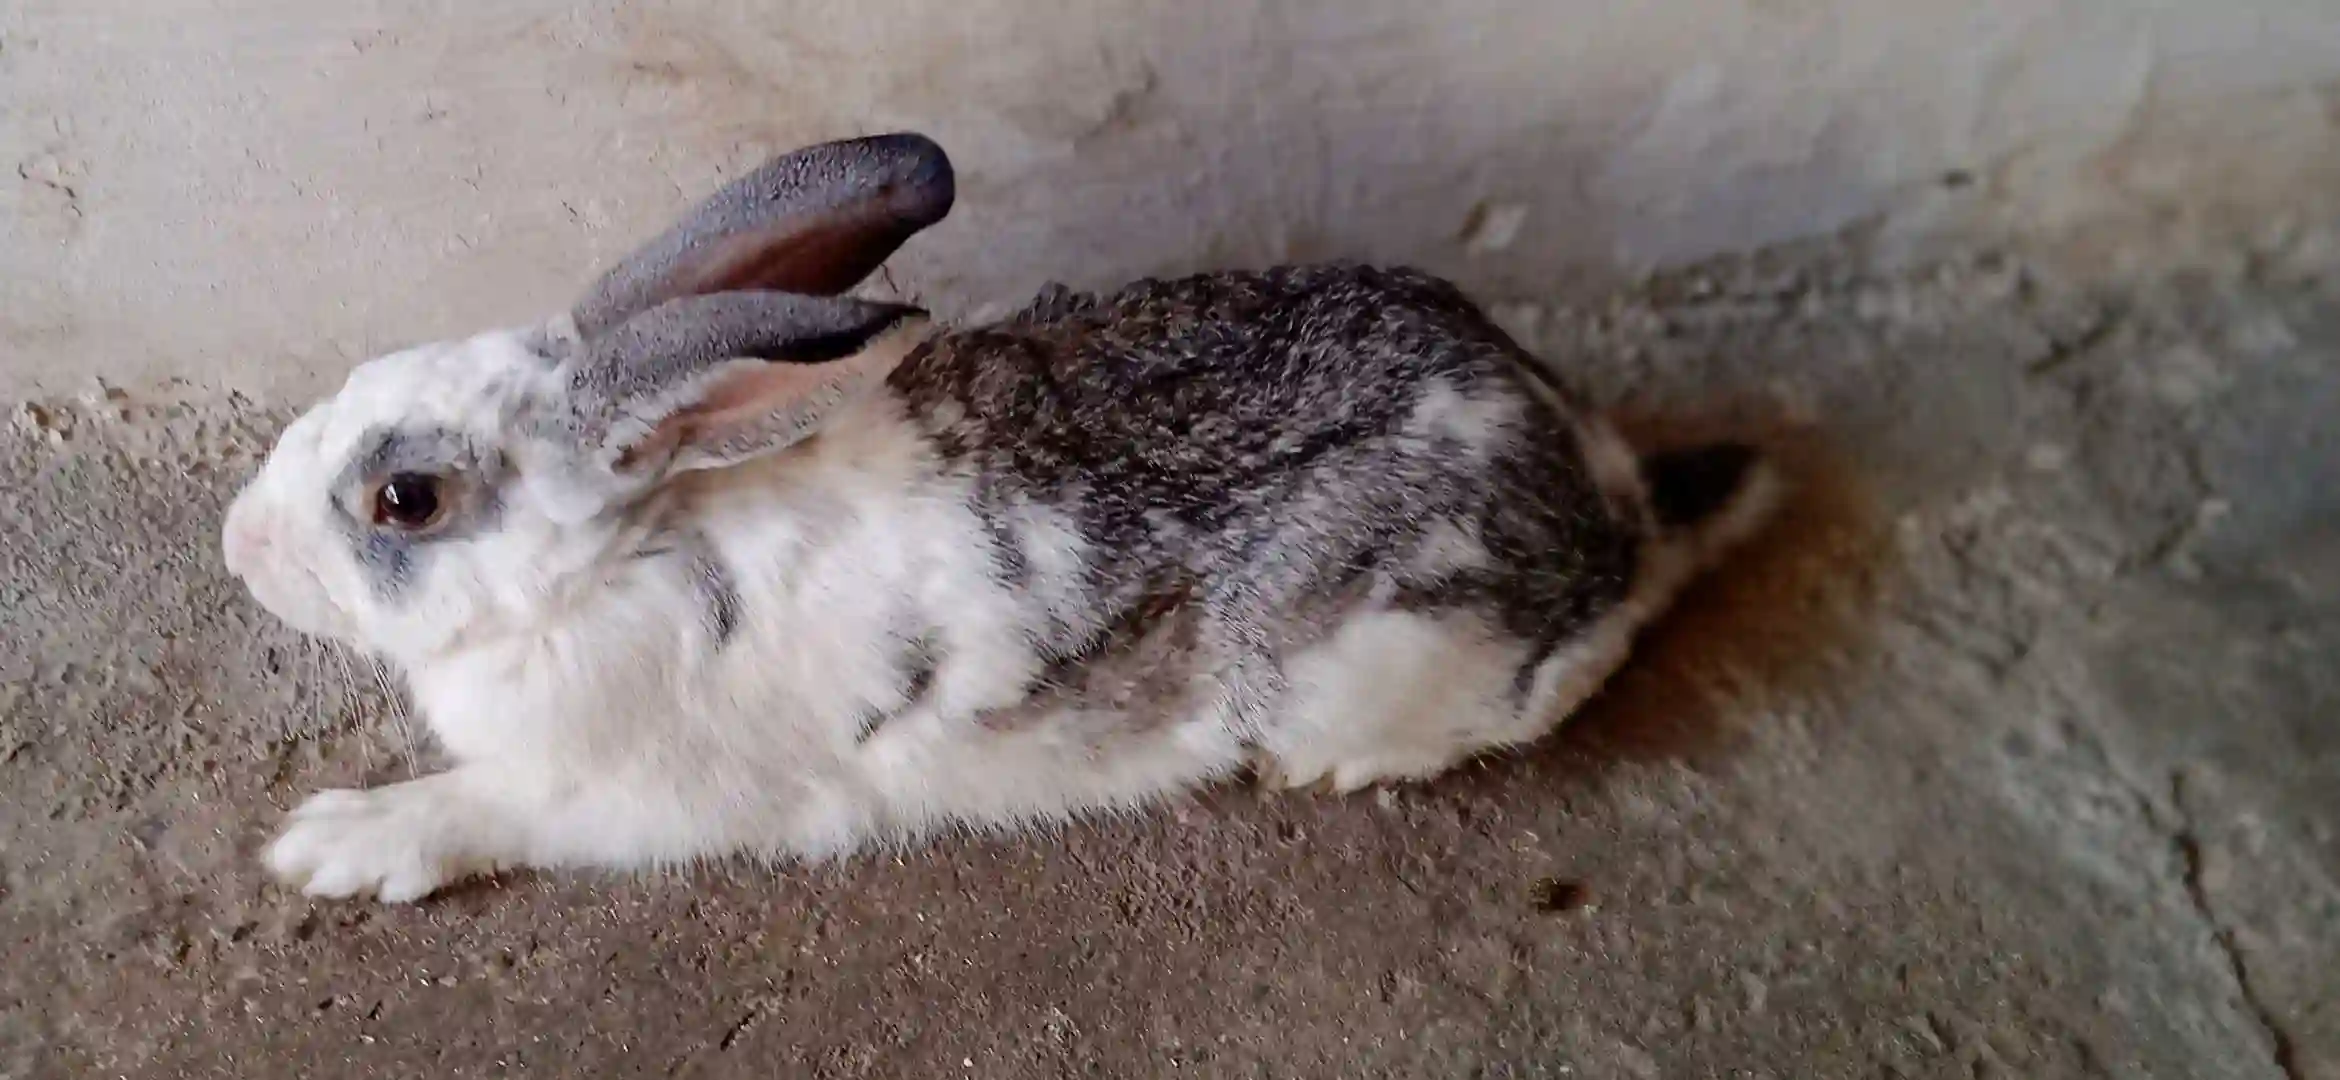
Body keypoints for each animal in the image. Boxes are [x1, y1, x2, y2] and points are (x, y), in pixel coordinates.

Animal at [221, 132, 1778, 903]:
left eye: (405, 499)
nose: (240, 546)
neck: (633, 548)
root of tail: (1598, 479)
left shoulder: (631, 794)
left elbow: (485, 807)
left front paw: (332, 846)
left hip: (1387, 651)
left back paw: (1326, 769)